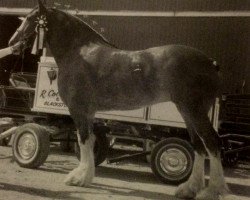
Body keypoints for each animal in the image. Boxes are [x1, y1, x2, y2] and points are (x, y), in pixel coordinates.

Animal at [8, 0, 233, 199]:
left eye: (29, 18)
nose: (12, 42)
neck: (78, 53)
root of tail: (211, 62)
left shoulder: (78, 110)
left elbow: (83, 140)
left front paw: (79, 178)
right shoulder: (88, 113)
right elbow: (89, 140)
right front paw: (86, 176)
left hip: (194, 110)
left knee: (211, 142)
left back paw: (213, 190)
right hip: (187, 111)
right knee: (199, 145)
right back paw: (189, 189)